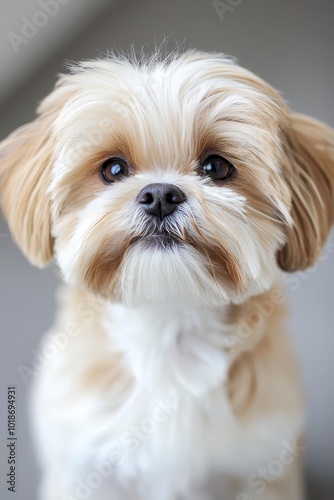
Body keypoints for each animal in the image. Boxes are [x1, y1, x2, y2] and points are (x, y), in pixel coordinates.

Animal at [0, 47, 334, 500]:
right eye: (114, 169)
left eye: (215, 167)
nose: (160, 194)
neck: (167, 332)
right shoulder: (82, 468)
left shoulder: (262, 470)